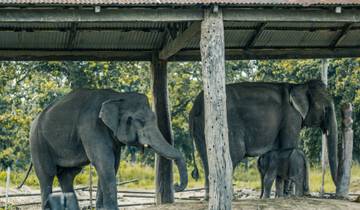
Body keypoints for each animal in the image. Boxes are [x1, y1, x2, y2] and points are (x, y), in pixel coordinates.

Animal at [26, 89, 188, 210]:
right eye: (141, 121)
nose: (176, 186)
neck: (117, 96)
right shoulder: (91, 127)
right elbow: (104, 163)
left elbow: (113, 164)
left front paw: (102, 208)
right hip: (38, 142)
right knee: (47, 175)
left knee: (67, 175)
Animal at [190, 79, 338, 199]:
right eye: (326, 108)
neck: (298, 86)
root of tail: (194, 108)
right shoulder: (292, 117)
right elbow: (288, 144)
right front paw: (286, 196)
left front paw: (280, 196)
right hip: (225, 123)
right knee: (233, 155)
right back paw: (229, 198)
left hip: (200, 128)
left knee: (206, 158)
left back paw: (208, 198)